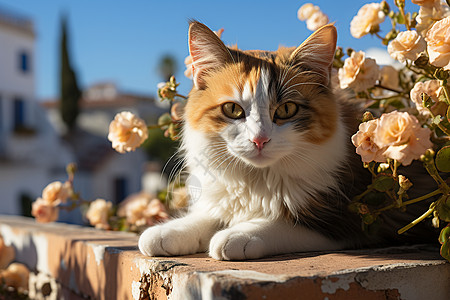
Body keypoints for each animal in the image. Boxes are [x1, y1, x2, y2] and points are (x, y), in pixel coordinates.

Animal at [138, 21, 436, 260]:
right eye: (233, 109)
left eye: (286, 110)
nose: (259, 140)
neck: (257, 180)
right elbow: (206, 217)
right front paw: (167, 232)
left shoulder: (347, 222)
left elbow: (278, 224)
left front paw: (237, 235)